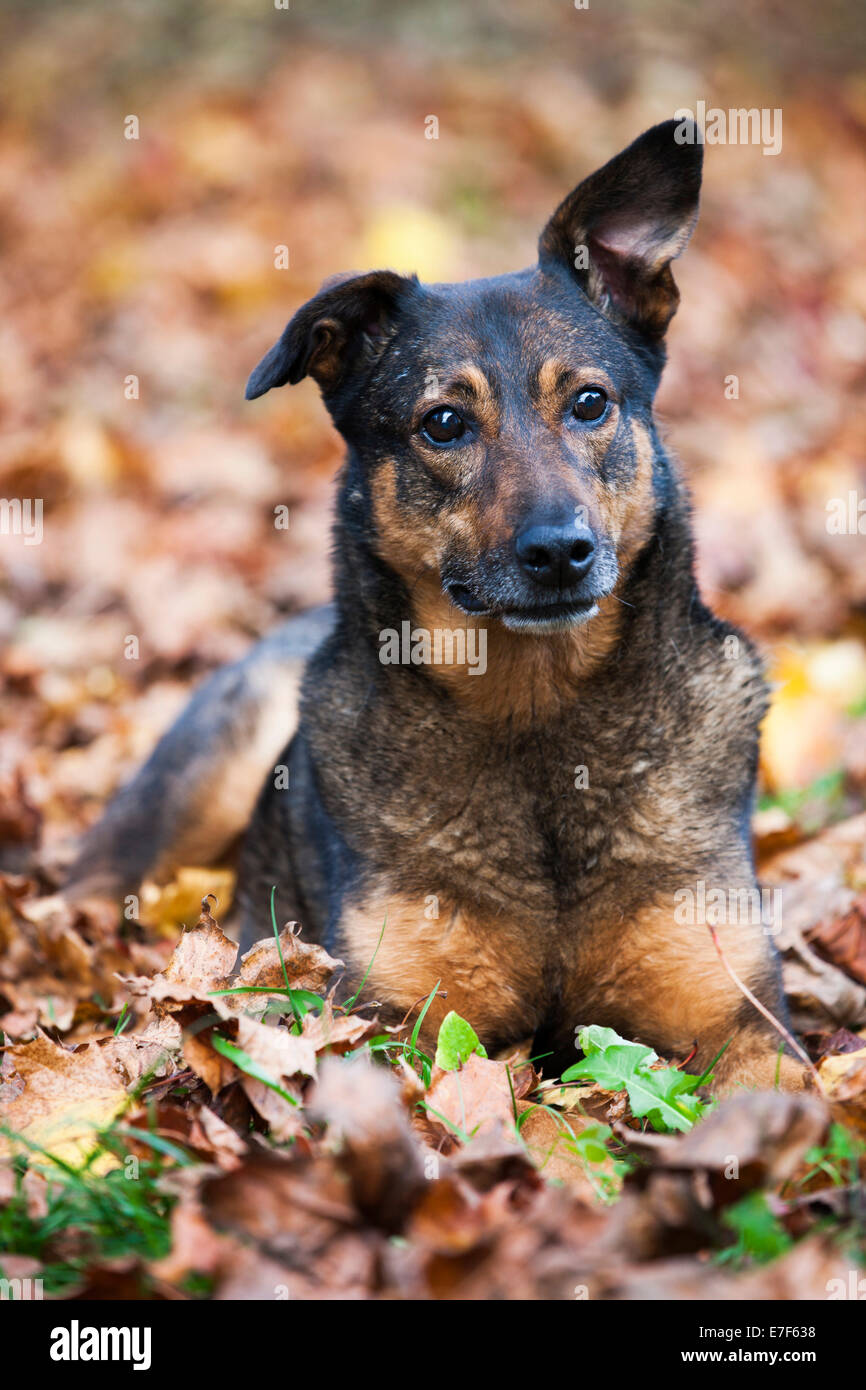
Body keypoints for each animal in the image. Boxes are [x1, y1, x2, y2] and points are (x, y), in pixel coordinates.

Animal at [72, 119, 806, 1089]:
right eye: (444, 424)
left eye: (591, 403)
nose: (559, 553)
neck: (538, 711)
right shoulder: (387, 1019)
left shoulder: (734, 1010)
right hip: (191, 798)